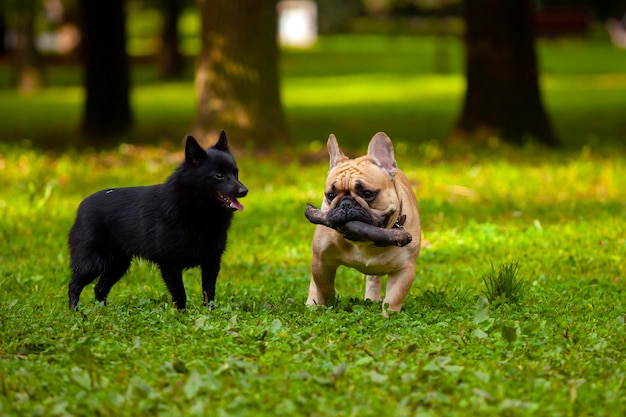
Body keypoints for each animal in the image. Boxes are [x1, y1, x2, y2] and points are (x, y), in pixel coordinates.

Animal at [66, 130, 246, 308]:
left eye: (235, 172)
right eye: (219, 175)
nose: (244, 191)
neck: (196, 209)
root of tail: (81, 206)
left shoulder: (211, 262)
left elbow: (209, 294)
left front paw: (209, 313)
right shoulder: (170, 265)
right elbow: (180, 296)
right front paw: (181, 316)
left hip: (118, 264)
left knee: (99, 288)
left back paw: (101, 312)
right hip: (92, 263)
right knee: (74, 286)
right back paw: (76, 313)